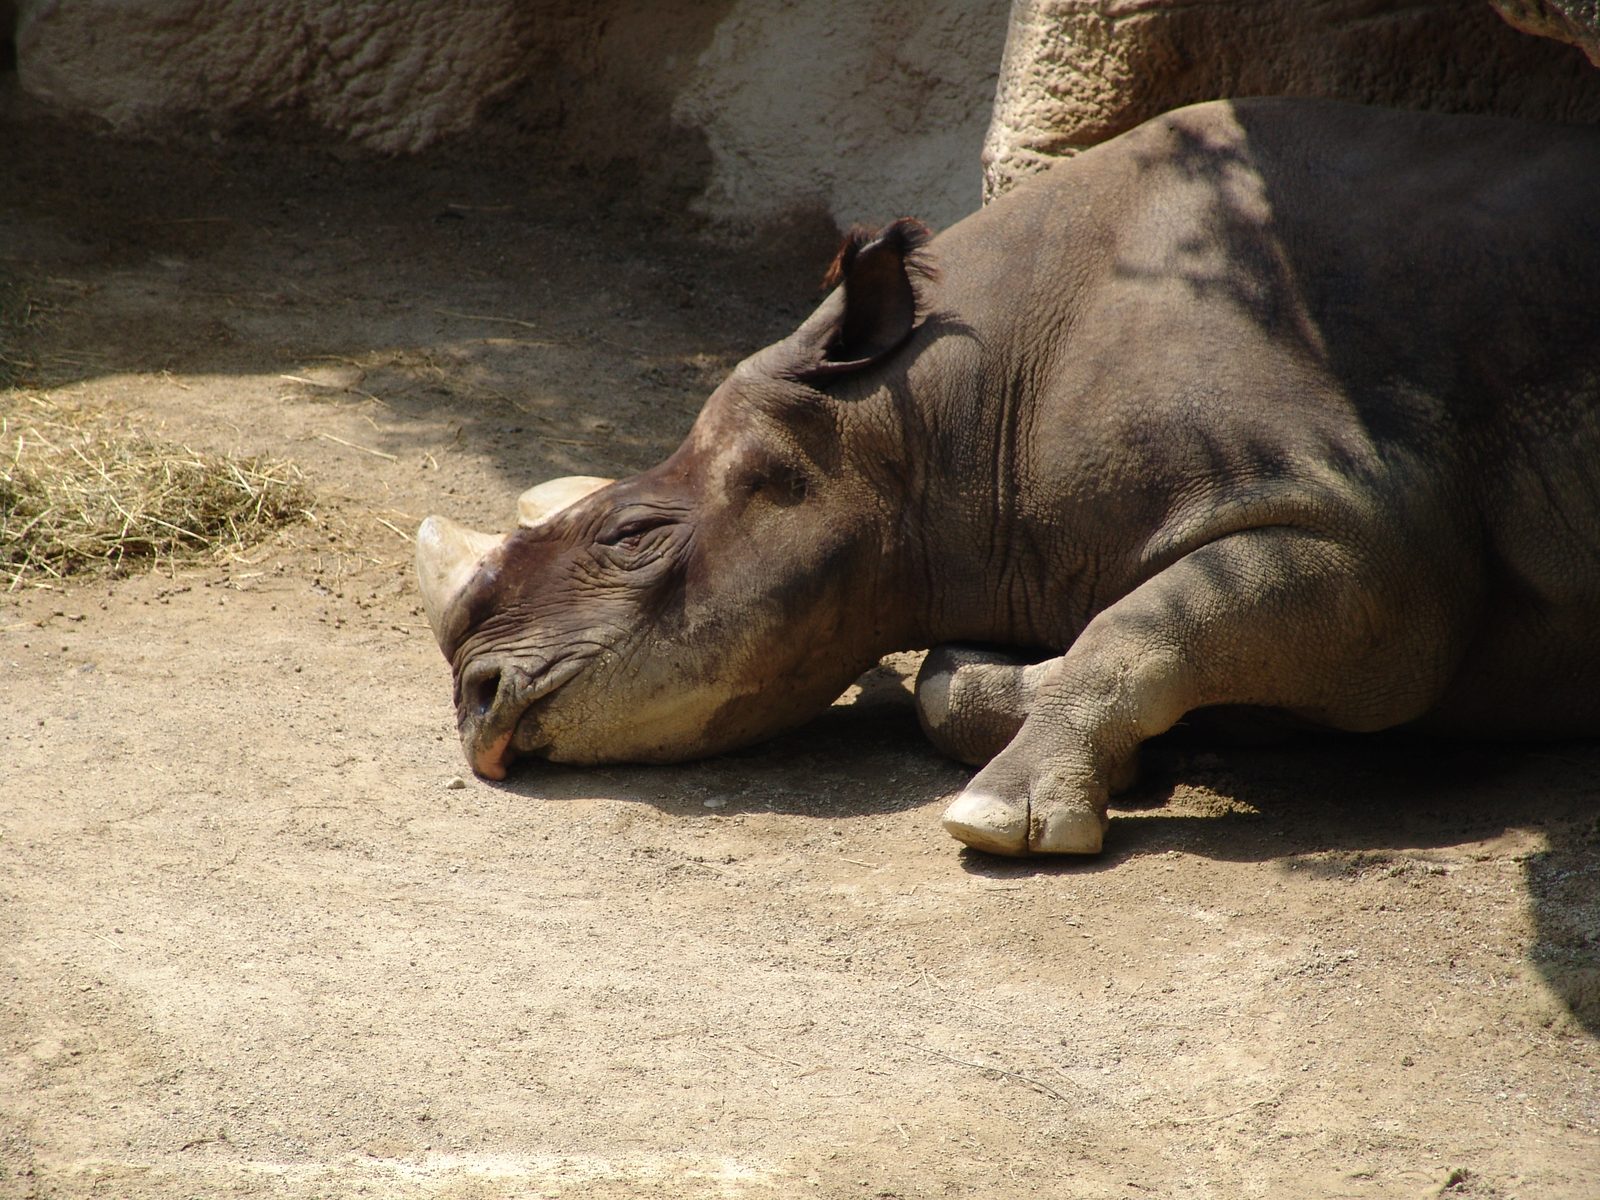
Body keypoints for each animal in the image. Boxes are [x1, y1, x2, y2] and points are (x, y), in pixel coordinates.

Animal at [416, 97, 1600, 857]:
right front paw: (1138, 749)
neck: (926, 420)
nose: (476, 706)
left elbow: (1149, 621)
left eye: (630, 538)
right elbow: (957, 678)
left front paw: (1012, 816)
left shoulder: (1359, 521)